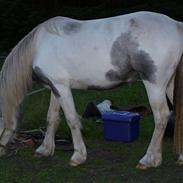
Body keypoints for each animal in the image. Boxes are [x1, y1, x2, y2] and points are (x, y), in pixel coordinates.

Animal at [0, 11, 183, 169]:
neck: (39, 46)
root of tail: (176, 25)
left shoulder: (61, 87)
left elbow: (72, 119)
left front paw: (78, 156)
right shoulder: (55, 87)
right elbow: (51, 117)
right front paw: (45, 149)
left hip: (155, 84)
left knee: (161, 117)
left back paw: (148, 159)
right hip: (169, 84)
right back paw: (174, 158)